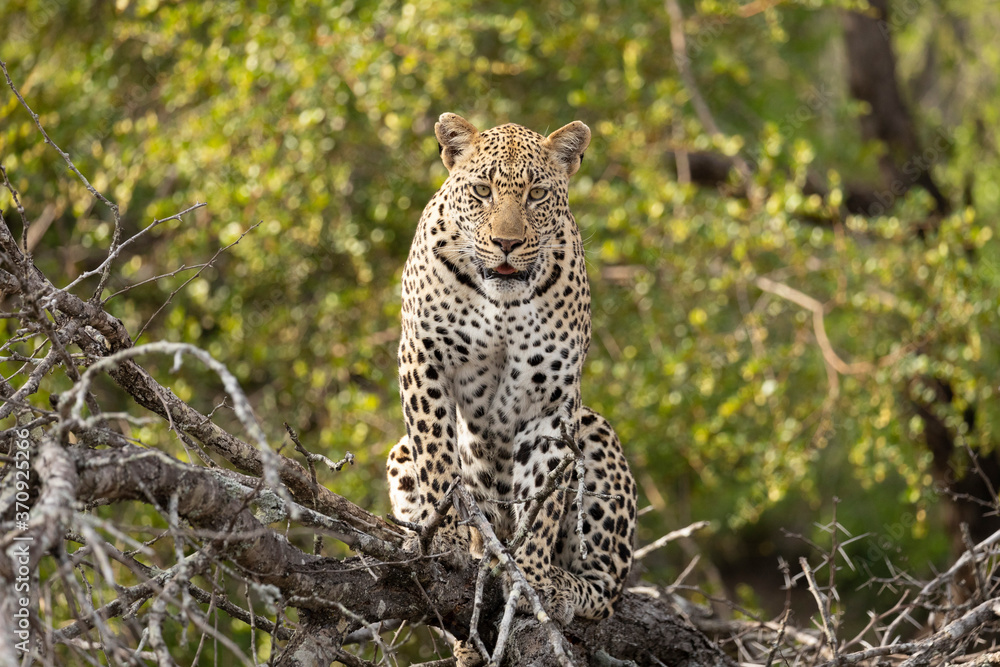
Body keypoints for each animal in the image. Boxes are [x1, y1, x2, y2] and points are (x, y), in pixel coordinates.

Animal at [386, 113, 637, 625]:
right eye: (483, 190)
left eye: (536, 194)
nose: (506, 243)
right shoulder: (423, 357)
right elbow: (438, 459)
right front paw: (444, 538)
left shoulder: (552, 400)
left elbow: (542, 497)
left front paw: (533, 578)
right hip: (399, 452)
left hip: (594, 431)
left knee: (607, 589)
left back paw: (564, 585)